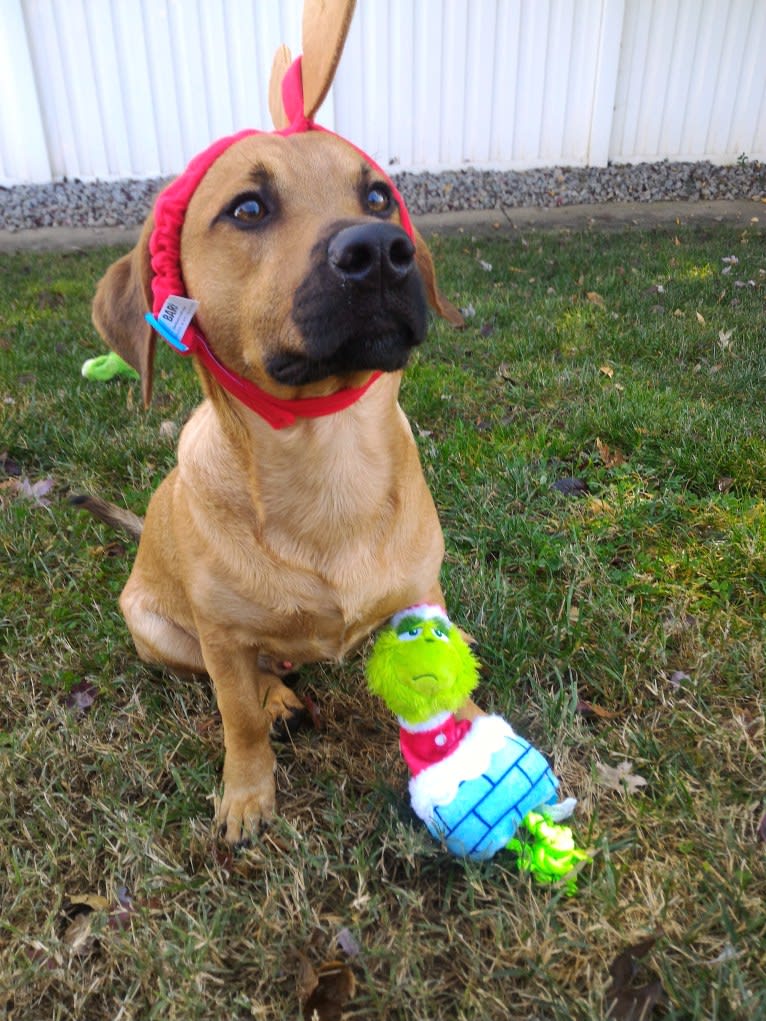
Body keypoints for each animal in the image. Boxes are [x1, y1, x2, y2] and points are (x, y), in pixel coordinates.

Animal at [79, 127, 473, 841]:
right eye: (248, 209)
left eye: (378, 196)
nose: (381, 252)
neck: (330, 463)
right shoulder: (222, 639)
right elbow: (237, 720)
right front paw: (246, 795)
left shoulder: (421, 595)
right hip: (158, 632)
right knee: (234, 677)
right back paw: (276, 697)